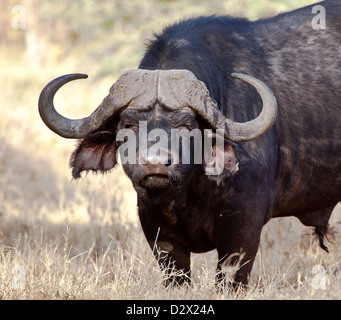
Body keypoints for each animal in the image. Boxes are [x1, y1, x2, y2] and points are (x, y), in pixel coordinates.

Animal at [38, 1, 338, 288]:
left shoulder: (243, 229)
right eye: (128, 123)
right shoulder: (156, 230)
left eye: (186, 124)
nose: (156, 164)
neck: (187, 193)